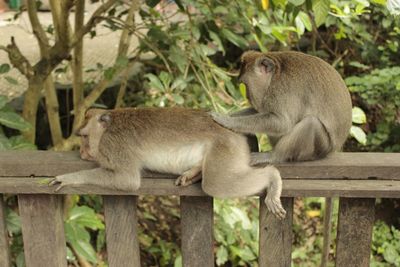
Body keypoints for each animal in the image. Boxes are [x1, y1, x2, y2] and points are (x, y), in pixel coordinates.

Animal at [50, 107, 288, 220]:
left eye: (83, 137)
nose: (82, 152)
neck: (109, 126)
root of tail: (235, 131)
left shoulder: (114, 145)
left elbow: (127, 180)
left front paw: (68, 178)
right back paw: (194, 172)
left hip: (226, 147)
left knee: (217, 184)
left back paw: (273, 177)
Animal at [211, 50, 352, 163]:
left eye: (245, 85)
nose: (246, 96)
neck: (276, 74)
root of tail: (333, 149)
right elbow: (260, 111)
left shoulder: (283, 91)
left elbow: (282, 122)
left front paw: (227, 121)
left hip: (320, 149)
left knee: (311, 123)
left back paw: (275, 156)